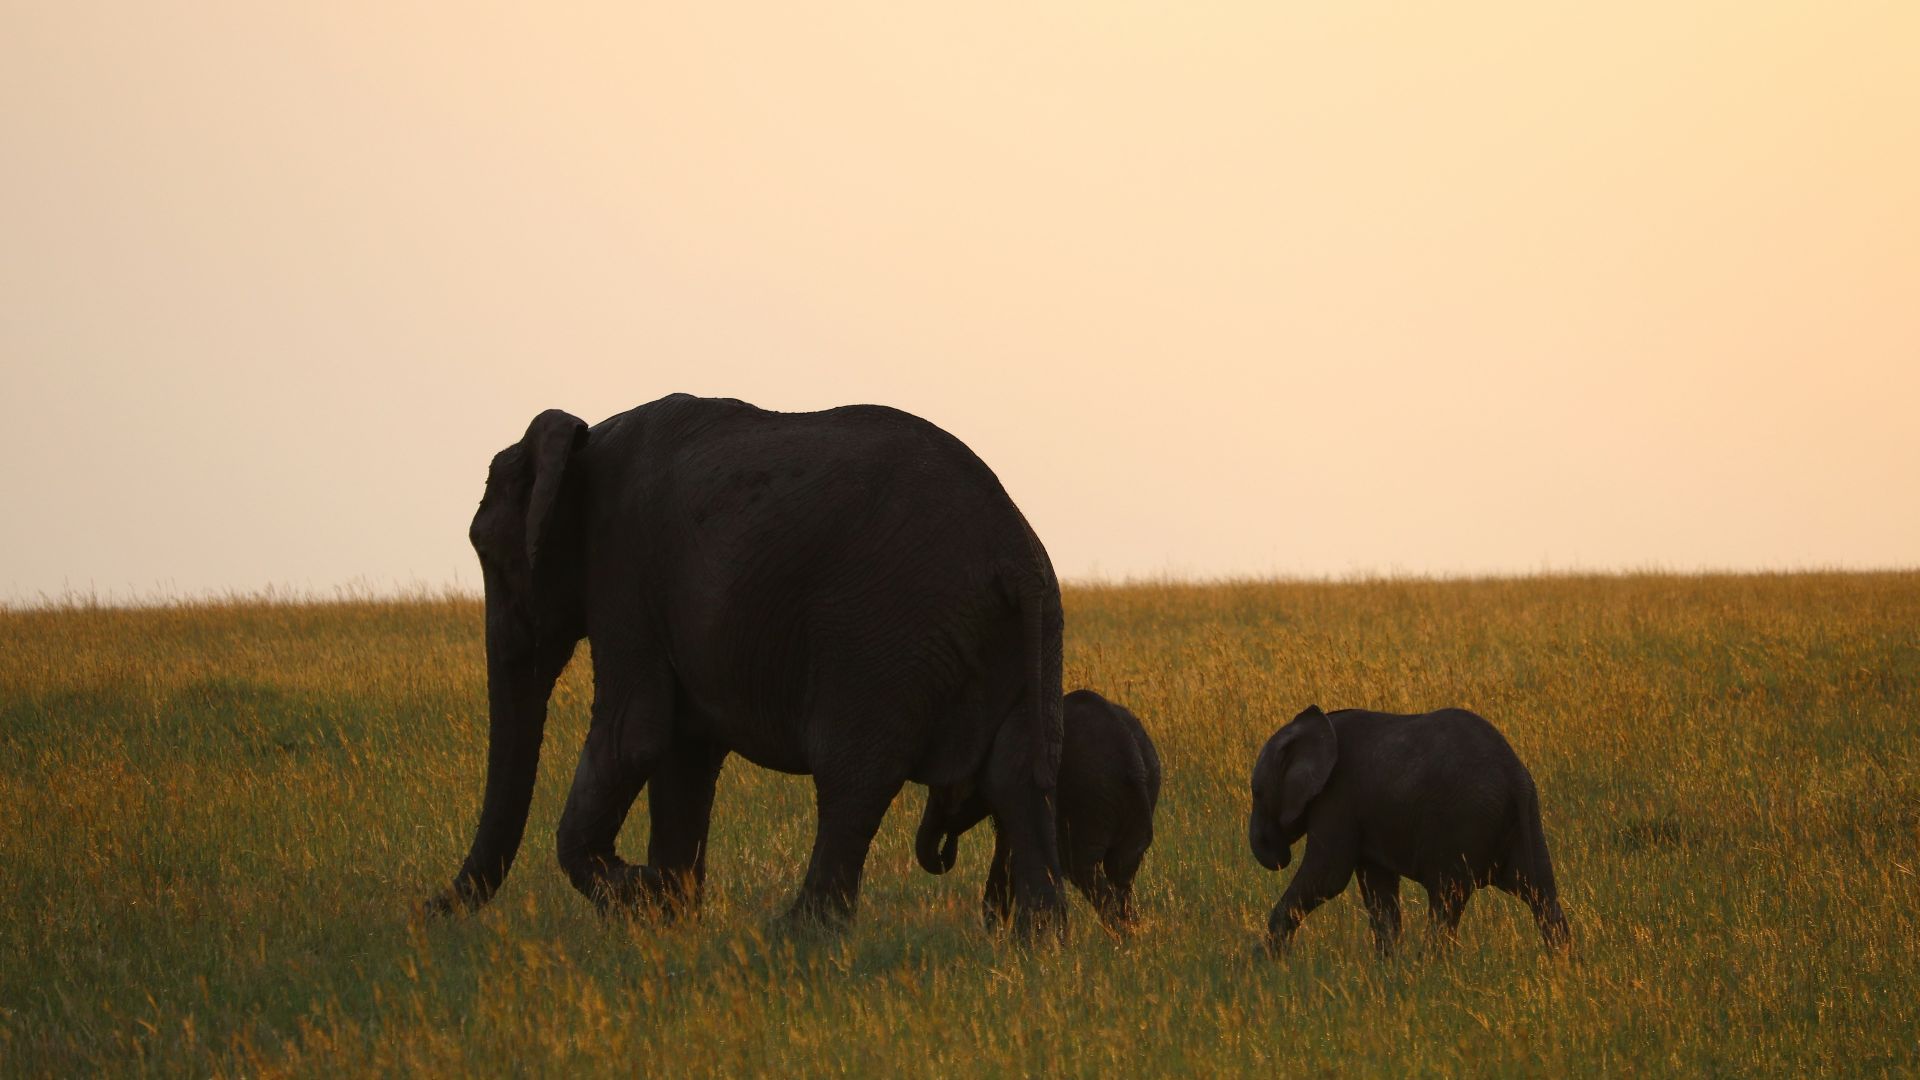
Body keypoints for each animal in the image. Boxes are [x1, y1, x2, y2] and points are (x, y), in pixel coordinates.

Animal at [427, 393, 1068, 935]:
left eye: (491, 556)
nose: (427, 907)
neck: (584, 440)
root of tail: (1014, 556)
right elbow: (682, 754)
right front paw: (670, 915)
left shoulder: (623, 571)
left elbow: (633, 736)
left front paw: (642, 895)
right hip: (1031, 638)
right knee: (1015, 773)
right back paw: (1036, 942)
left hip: (886, 636)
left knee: (853, 775)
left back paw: (797, 934)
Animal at [915, 688, 1160, 931]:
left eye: (939, 789)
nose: (947, 843)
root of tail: (1133, 759)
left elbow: (1007, 853)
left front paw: (992, 934)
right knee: (1122, 873)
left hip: (1088, 800)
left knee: (1085, 870)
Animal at [1249, 705, 1570, 956]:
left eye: (1257, 792)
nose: (1278, 854)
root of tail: (1513, 775)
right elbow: (1378, 889)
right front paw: (1387, 969)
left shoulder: (1336, 797)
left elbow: (1328, 876)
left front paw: (1266, 961)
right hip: (1526, 817)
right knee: (1541, 893)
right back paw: (1563, 966)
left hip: (1461, 822)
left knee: (1446, 899)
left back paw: (1428, 968)